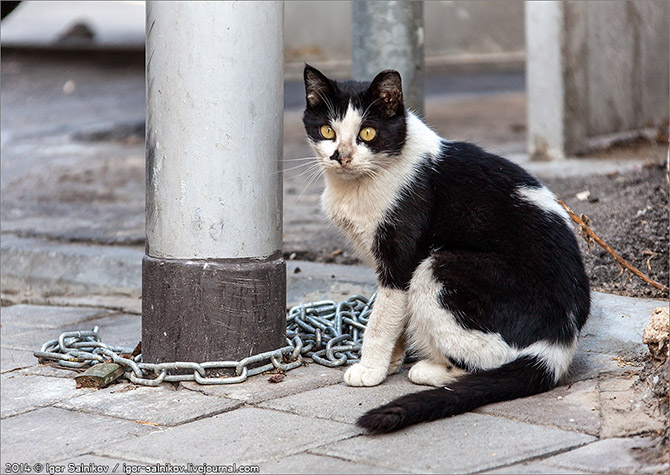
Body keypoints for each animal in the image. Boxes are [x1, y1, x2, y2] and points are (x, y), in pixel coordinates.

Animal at [302, 64, 592, 436]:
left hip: (438, 266)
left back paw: (431, 370)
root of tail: (559, 341)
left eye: (367, 133)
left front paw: (370, 369)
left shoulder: (402, 261)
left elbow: (381, 320)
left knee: (492, 358)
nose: (341, 156)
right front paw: (390, 361)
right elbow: (396, 317)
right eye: (327, 131)